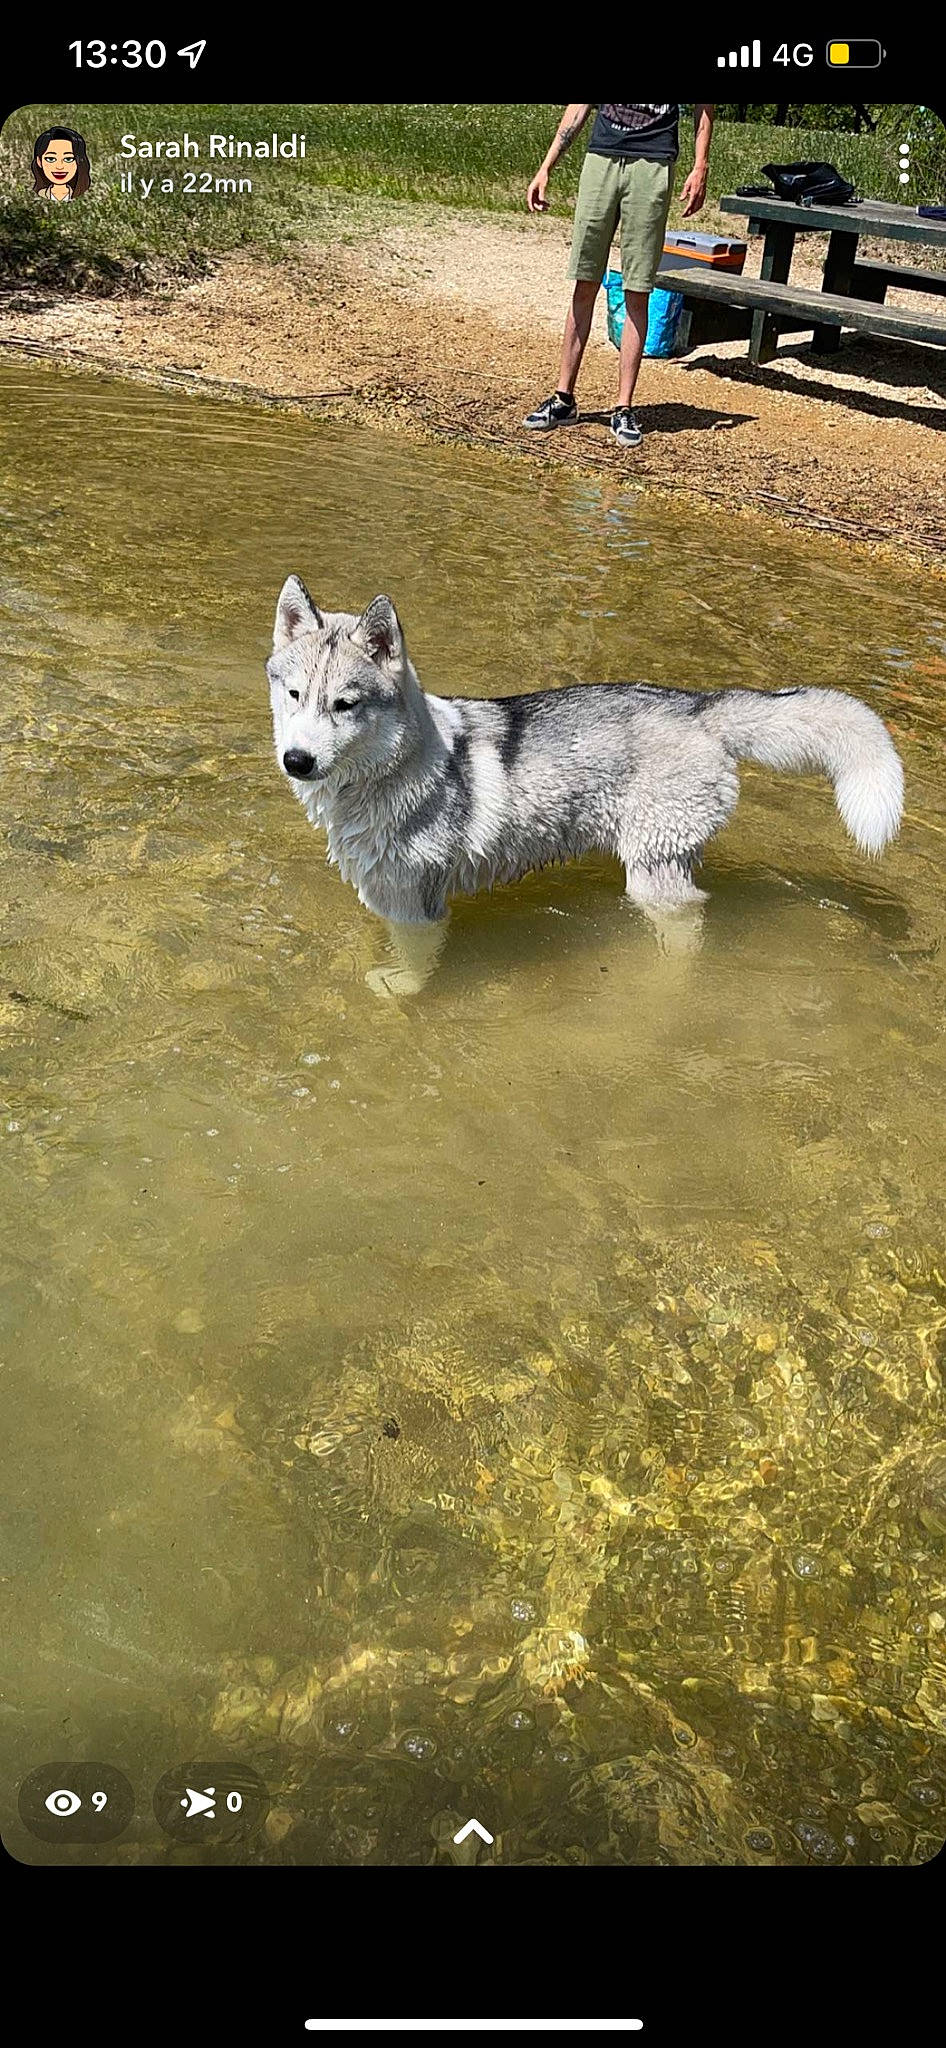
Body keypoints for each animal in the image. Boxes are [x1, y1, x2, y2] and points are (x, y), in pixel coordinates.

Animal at [266, 576, 904, 934]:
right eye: (294, 695)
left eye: (345, 704)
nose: (297, 761)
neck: (391, 772)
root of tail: (700, 706)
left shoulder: (413, 911)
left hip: (654, 872)